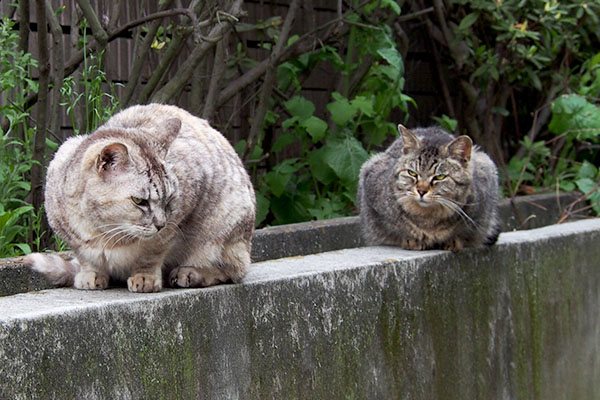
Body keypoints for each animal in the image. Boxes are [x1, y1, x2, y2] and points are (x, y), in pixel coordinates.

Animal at [24, 103, 255, 292]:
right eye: (139, 201)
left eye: (169, 199)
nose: (161, 224)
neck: (103, 231)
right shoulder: (71, 235)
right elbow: (85, 258)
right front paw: (90, 275)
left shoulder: (176, 219)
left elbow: (151, 253)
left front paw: (145, 278)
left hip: (227, 227)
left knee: (234, 269)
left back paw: (189, 273)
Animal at [356, 123, 502, 252]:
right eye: (412, 173)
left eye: (440, 177)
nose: (421, 191)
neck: (428, 219)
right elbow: (393, 229)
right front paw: (411, 239)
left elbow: (465, 232)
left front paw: (453, 240)